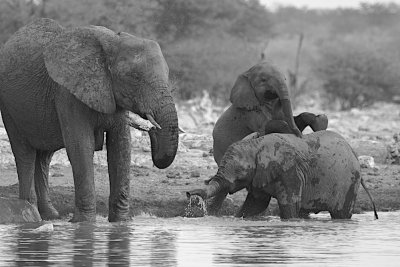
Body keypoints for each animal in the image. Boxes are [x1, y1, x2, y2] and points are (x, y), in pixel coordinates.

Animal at [0, 18, 179, 223]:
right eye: (134, 78)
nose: (152, 130)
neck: (112, 43)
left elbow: (121, 147)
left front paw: (121, 223)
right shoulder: (67, 94)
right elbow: (81, 147)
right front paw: (84, 223)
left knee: (44, 158)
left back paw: (50, 216)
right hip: (9, 107)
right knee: (25, 154)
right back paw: (30, 214)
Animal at [188, 129, 378, 220]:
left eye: (240, 173)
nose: (189, 193)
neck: (256, 145)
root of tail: (354, 153)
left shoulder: (290, 172)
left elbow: (289, 205)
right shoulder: (260, 175)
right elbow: (255, 205)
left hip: (348, 183)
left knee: (341, 214)